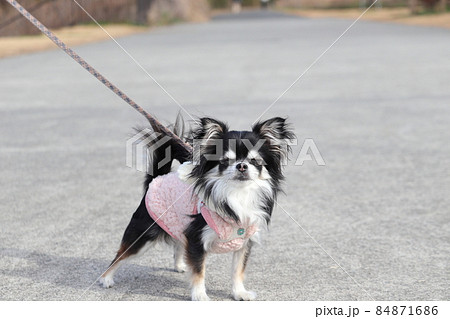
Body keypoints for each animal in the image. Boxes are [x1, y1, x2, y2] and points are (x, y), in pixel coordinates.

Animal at [100, 116, 294, 302]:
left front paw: (239, 293)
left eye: (255, 161)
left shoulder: (243, 243)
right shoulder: (196, 239)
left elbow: (238, 271)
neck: (237, 194)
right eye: (225, 161)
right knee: (120, 255)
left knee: (178, 244)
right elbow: (199, 271)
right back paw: (105, 278)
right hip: (143, 235)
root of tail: (156, 179)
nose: (241, 165)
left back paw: (180, 265)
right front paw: (200, 295)